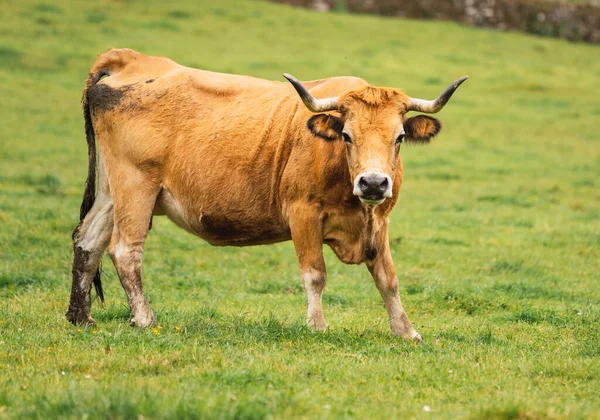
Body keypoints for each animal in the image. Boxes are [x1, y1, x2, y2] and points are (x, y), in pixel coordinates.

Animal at [67, 48, 468, 342]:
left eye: (398, 137)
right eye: (346, 135)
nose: (372, 183)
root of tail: (132, 59)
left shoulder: (380, 221)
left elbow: (388, 278)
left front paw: (406, 330)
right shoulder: (303, 215)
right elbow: (315, 274)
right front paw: (318, 326)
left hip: (111, 190)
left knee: (88, 241)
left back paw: (81, 317)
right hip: (135, 185)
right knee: (125, 250)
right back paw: (144, 318)